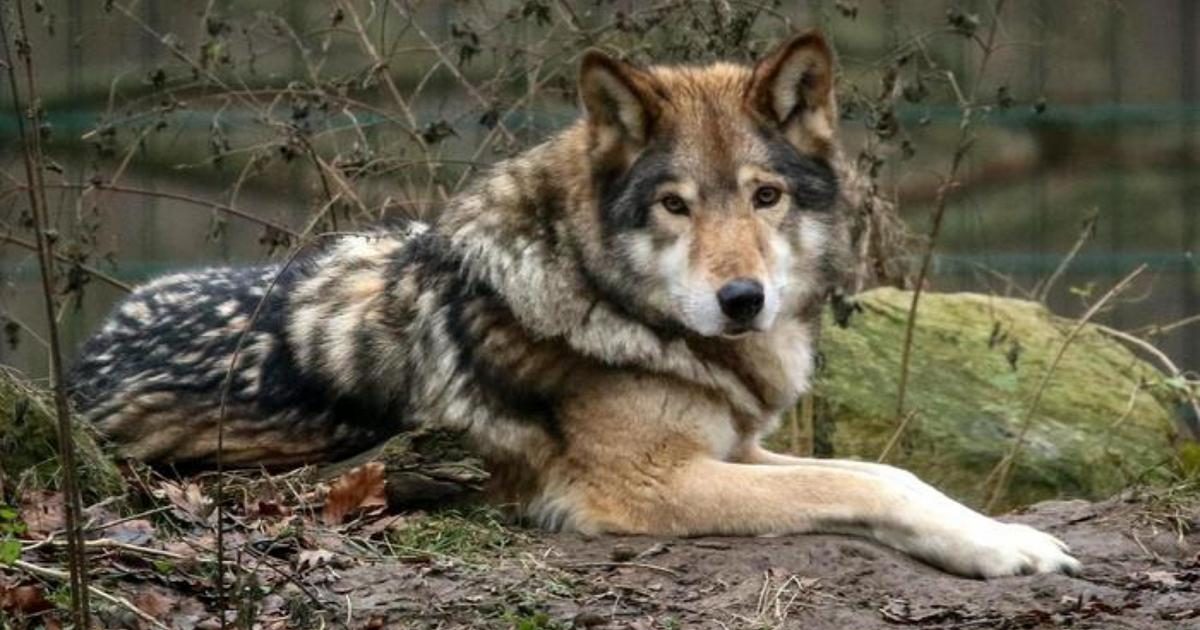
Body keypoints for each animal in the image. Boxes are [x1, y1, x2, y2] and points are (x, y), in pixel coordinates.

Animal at [70, 32, 1080, 578]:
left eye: (764, 197)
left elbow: (881, 471)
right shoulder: (648, 484)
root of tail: (86, 355)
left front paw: (1004, 535)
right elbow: (867, 481)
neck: (610, 300)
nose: (742, 299)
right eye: (675, 204)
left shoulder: (735, 447)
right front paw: (1006, 550)